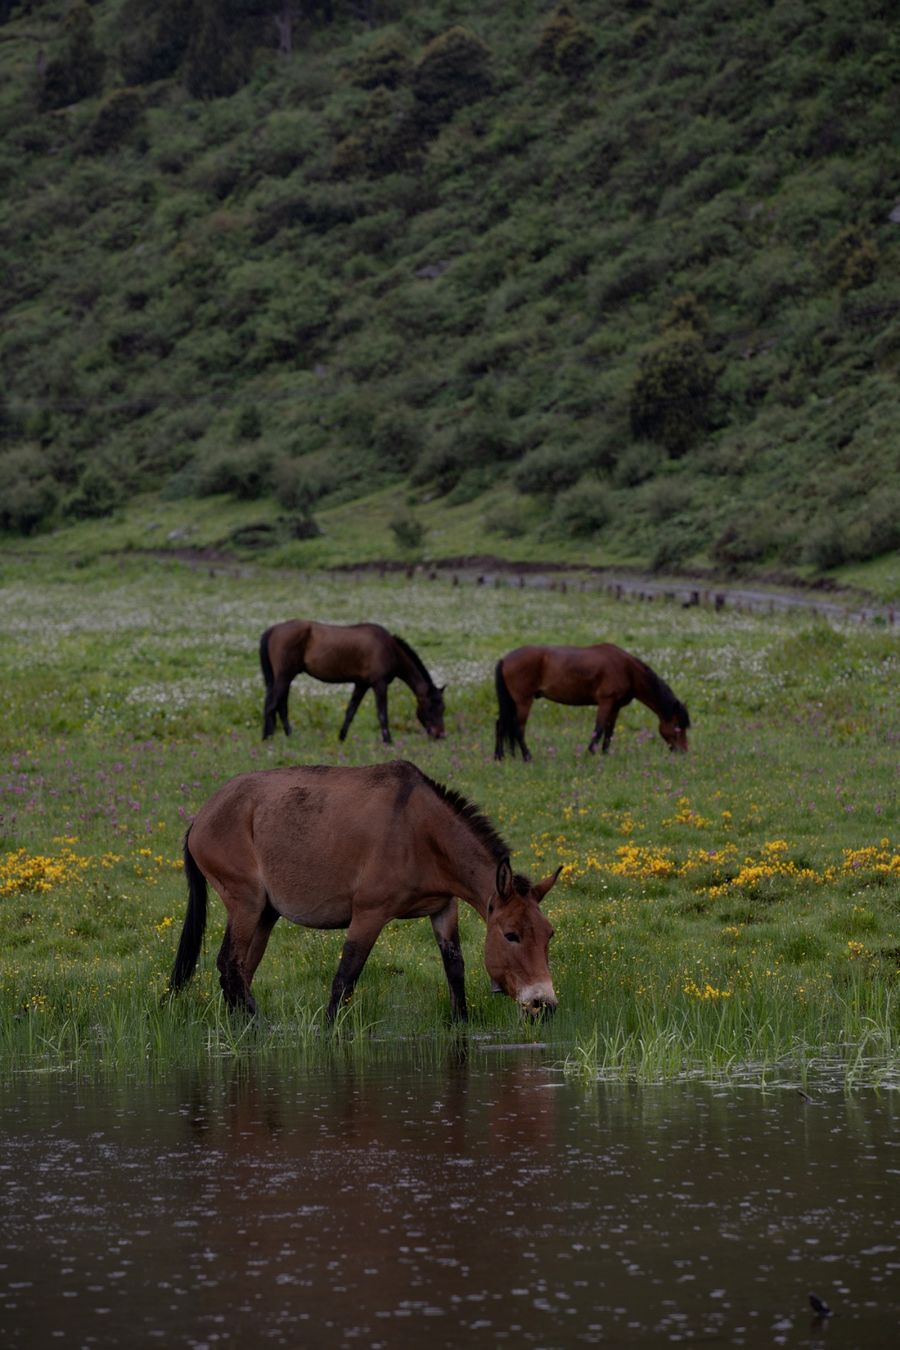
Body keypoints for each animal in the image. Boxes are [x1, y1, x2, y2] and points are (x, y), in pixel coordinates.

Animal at [168, 761, 558, 1020]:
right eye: (510, 935)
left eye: (548, 935)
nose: (545, 1003)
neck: (419, 830)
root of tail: (200, 818)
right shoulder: (369, 914)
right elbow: (345, 978)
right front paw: (327, 1032)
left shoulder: (443, 909)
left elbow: (455, 969)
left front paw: (461, 1024)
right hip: (245, 903)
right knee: (229, 965)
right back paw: (259, 1027)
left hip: (265, 912)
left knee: (240, 972)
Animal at [259, 618, 445, 745]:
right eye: (432, 707)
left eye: (443, 708)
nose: (440, 735)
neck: (388, 648)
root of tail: (273, 629)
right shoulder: (379, 684)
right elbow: (382, 714)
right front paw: (388, 741)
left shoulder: (361, 684)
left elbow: (350, 711)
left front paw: (341, 738)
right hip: (284, 676)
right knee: (271, 705)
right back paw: (267, 739)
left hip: (285, 678)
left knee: (280, 706)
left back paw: (288, 736)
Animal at [496, 642, 696, 761]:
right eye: (678, 726)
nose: (683, 751)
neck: (627, 669)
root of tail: (505, 659)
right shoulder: (606, 702)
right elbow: (598, 729)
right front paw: (591, 752)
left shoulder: (615, 707)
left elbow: (609, 732)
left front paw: (605, 754)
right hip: (523, 701)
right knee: (518, 728)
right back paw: (527, 756)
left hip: (512, 702)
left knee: (502, 724)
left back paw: (502, 756)